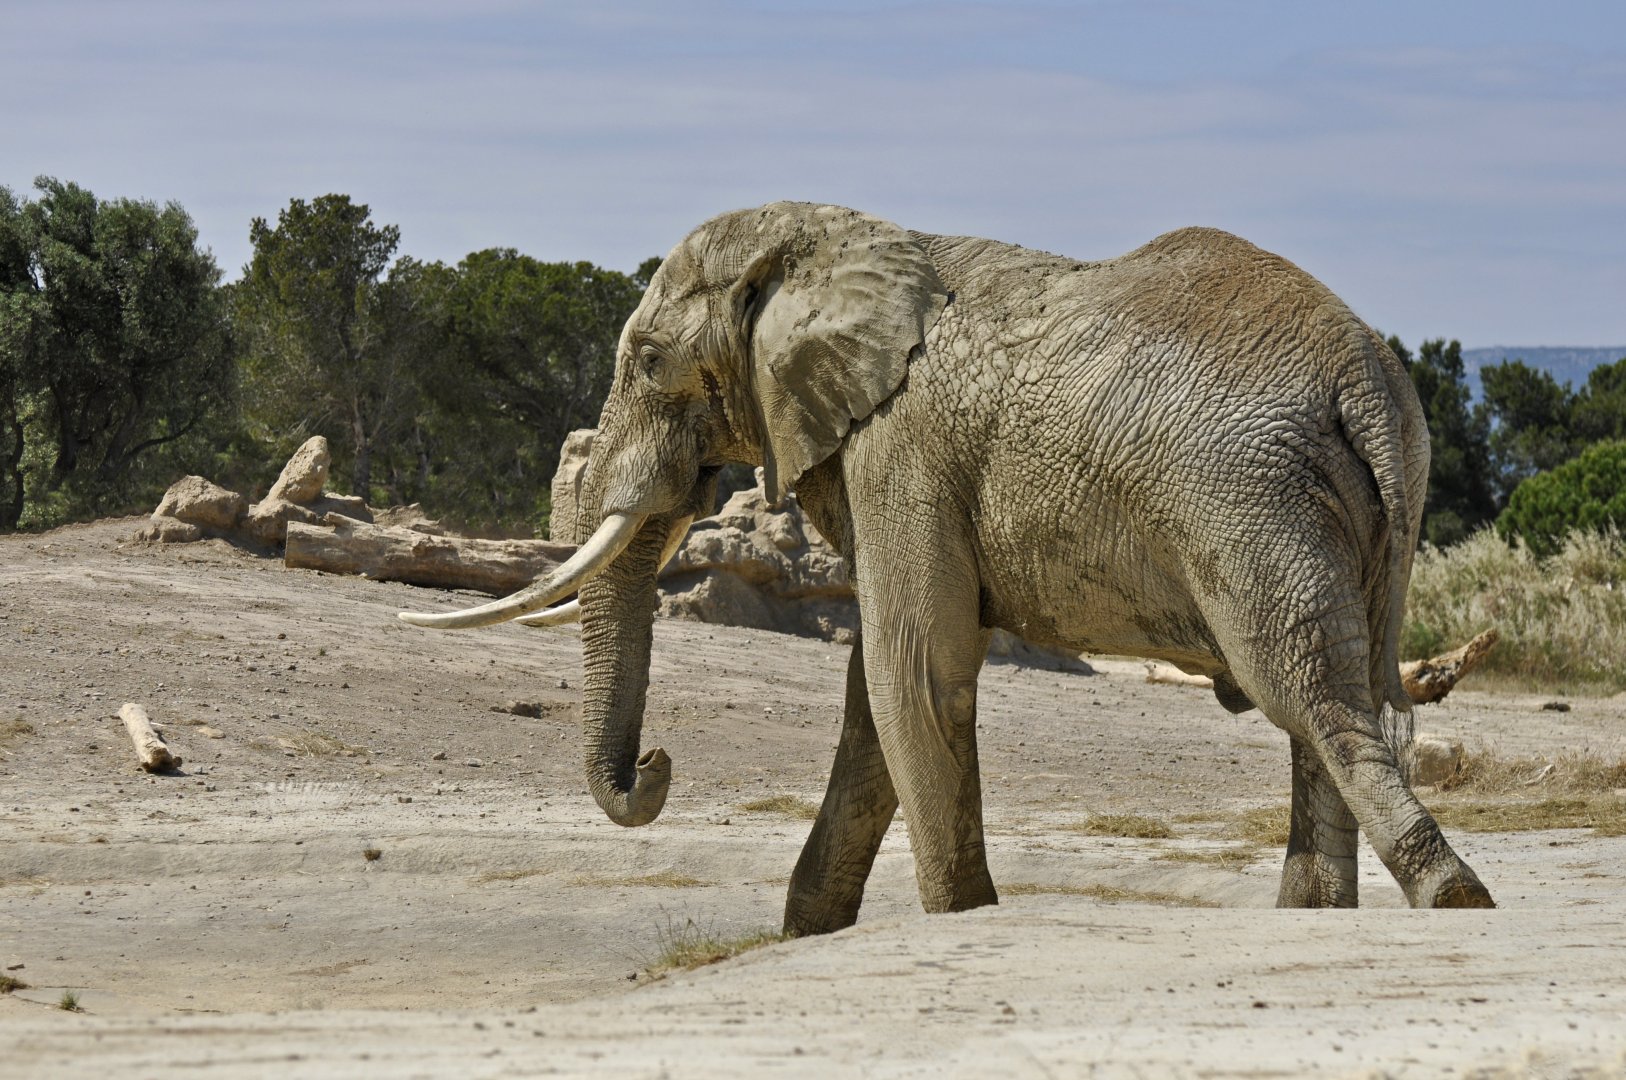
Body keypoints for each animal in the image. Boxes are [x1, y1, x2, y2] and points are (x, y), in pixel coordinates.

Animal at [400, 202, 1494, 933]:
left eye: (646, 361)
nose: (658, 764)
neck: (835, 241)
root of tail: (1366, 378)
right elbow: (873, 695)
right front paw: (808, 932)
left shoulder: (903, 449)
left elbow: (910, 672)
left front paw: (961, 917)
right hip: (1355, 511)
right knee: (1335, 693)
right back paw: (1317, 913)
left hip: (1248, 503)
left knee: (1308, 694)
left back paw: (1453, 895)